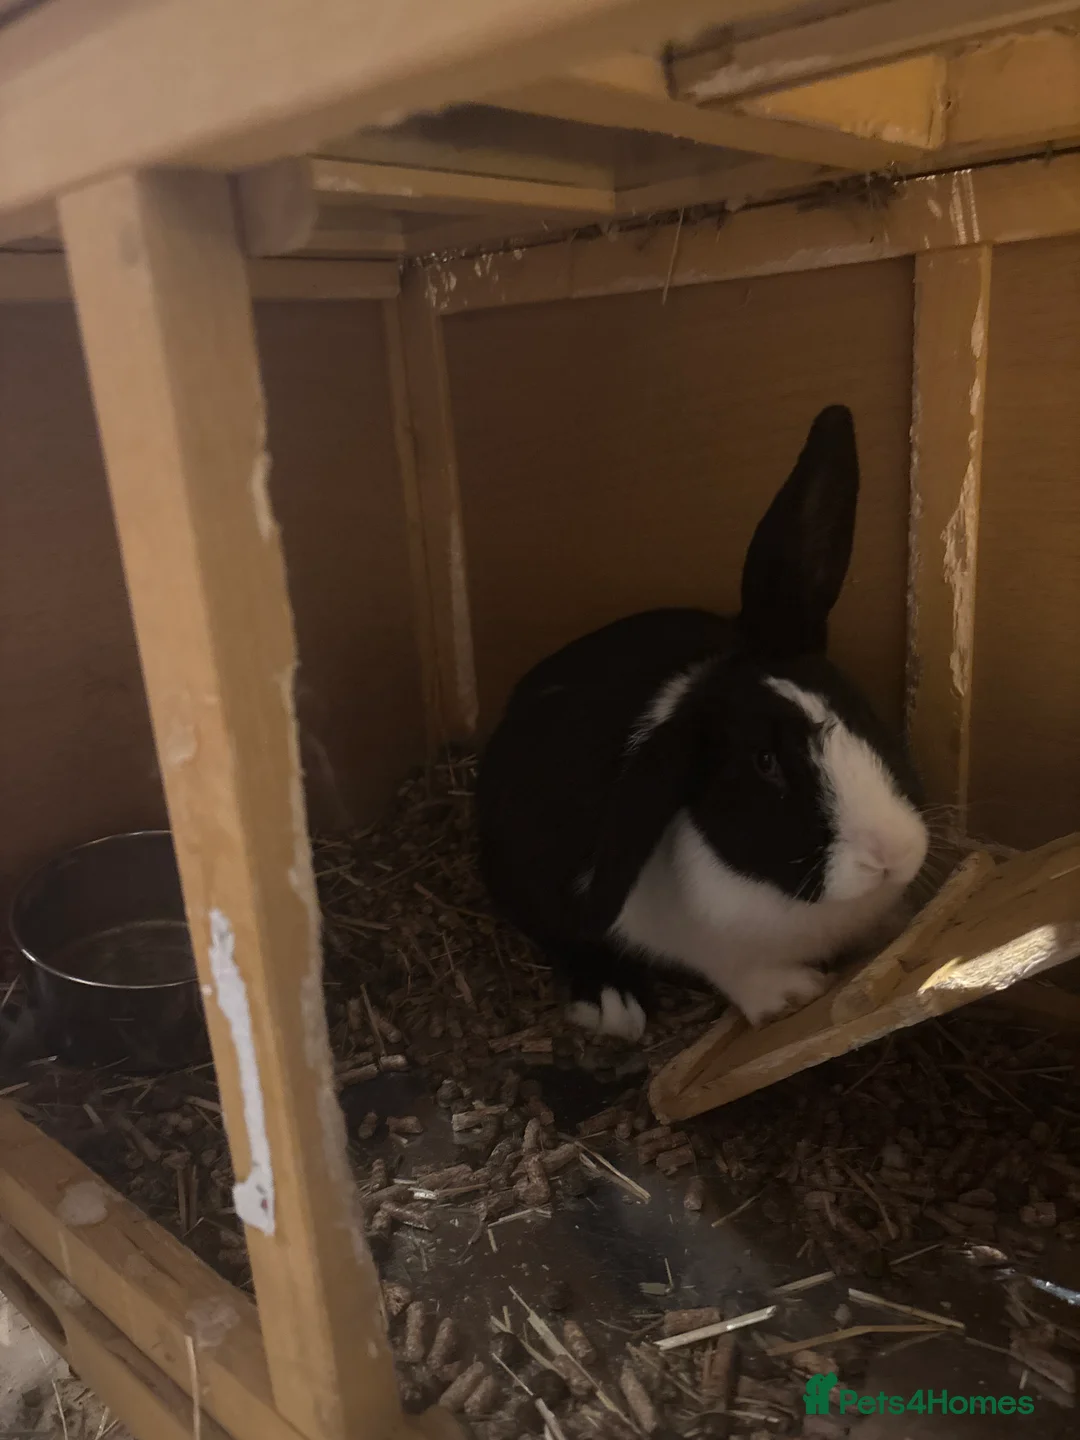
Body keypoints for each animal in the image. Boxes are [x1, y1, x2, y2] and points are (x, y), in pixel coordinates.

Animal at [475, 405, 929, 1041]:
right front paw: (790, 997)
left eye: (858, 709)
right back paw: (611, 1002)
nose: (890, 856)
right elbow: (731, 967)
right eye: (765, 763)